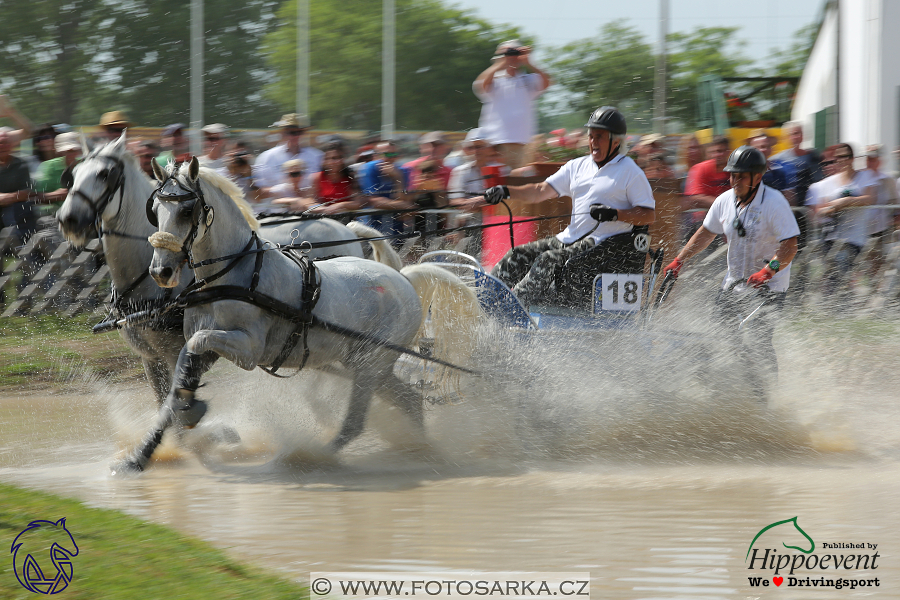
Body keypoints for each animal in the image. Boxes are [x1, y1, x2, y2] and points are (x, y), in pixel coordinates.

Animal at [59, 131, 400, 404]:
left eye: (104, 174)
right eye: (73, 173)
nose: (68, 219)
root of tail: (343, 227)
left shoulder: (173, 350)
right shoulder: (150, 358)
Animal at [123, 158, 482, 474]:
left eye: (187, 210)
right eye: (155, 211)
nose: (161, 271)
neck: (234, 275)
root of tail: (404, 280)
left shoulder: (247, 350)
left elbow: (196, 346)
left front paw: (192, 411)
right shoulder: (208, 346)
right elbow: (178, 381)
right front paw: (139, 456)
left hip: (370, 365)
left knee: (356, 422)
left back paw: (313, 457)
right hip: (363, 364)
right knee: (410, 400)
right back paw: (421, 449)